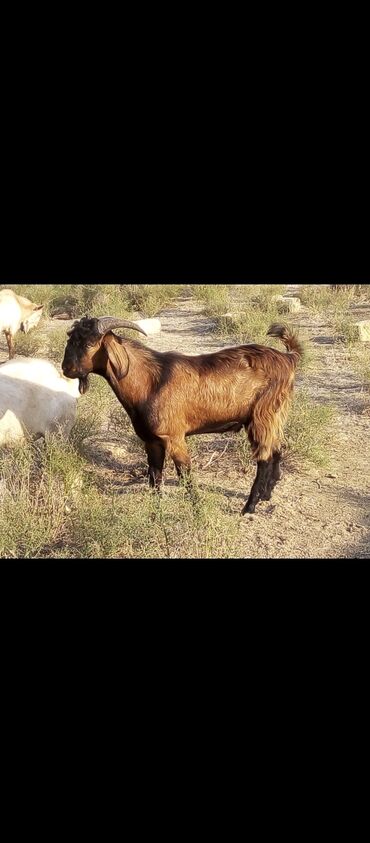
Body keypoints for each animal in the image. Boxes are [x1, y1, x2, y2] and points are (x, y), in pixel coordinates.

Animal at [61, 316, 304, 516]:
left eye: (89, 344)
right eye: (70, 339)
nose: (66, 369)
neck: (150, 382)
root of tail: (288, 358)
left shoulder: (174, 437)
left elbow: (185, 475)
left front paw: (198, 510)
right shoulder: (151, 441)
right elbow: (154, 476)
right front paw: (156, 509)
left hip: (262, 416)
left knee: (264, 457)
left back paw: (249, 507)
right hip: (274, 417)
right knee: (277, 449)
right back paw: (267, 495)